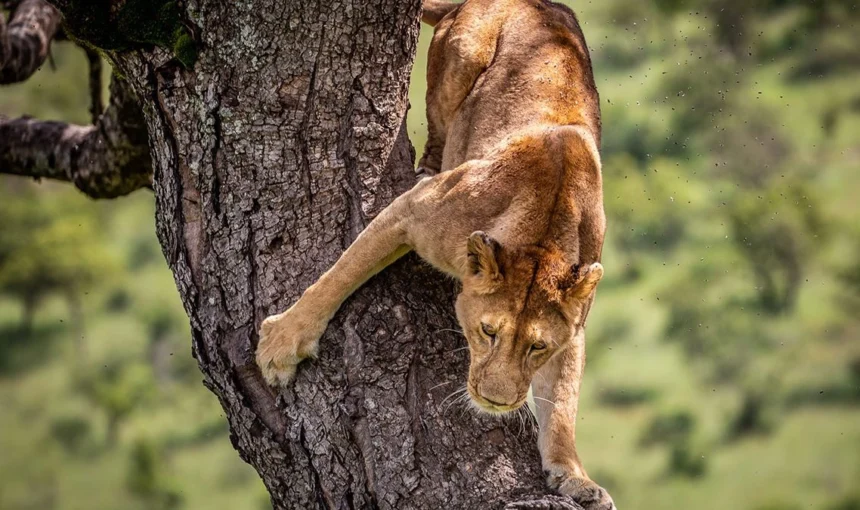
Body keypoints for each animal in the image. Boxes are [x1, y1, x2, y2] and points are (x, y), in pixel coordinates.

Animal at [256, 0, 613, 507]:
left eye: (537, 346)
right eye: (487, 332)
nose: (497, 401)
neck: (543, 237)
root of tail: (540, 3)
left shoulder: (574, 326)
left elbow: (561, 404)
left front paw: (575, 478)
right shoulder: (412, 211)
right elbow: (339, 275)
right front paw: (283, 343)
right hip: (464, 53)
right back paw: (429, 162)